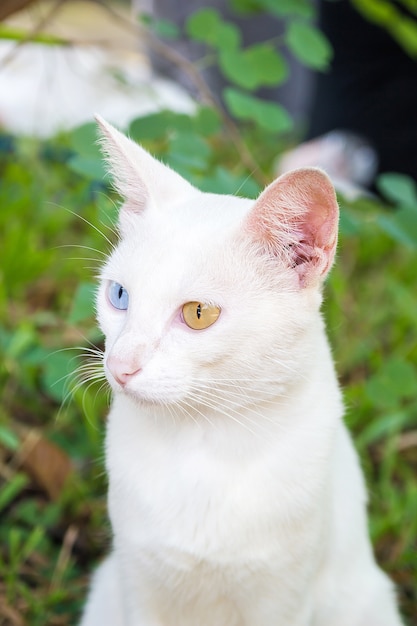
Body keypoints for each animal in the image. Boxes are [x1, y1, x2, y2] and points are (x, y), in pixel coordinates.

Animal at [79, 113, 402, 624]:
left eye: (198, 314)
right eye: (119, 296)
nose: (120, 365)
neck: (204, 445)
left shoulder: (285, 596)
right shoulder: (137, 582)